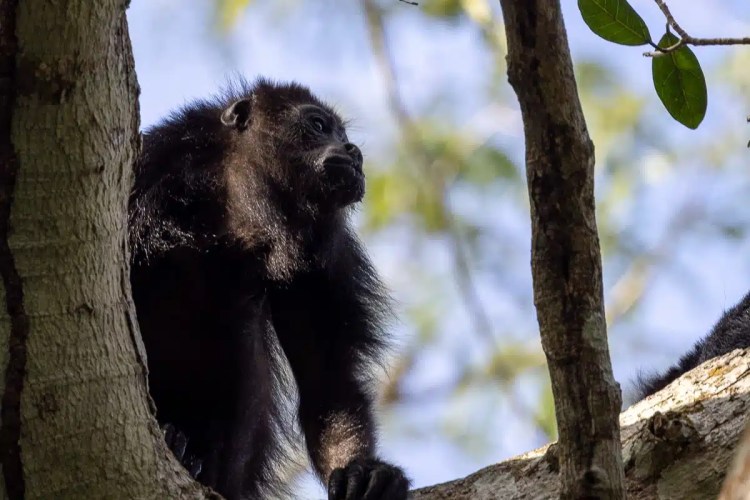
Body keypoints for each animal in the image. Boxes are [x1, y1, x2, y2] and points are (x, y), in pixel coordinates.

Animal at [129, 78, 410, 500]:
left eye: (345, 135)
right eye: (318, 125)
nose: (354, 152)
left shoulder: (326, 248)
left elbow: (328, 375)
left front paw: (362, 470)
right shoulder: (155, 166)